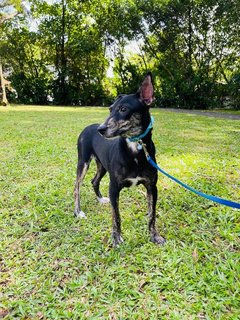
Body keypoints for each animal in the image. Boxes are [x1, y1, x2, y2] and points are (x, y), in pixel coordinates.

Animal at [74, 73, 166, 248]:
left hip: (102, 166)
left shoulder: (152, 187)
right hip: (83, 163)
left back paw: (100, 199)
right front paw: (116, 238)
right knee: (76, 188)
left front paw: (154, 236)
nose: (101, 129)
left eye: (123, 109)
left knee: (94, 181)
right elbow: (116, 216)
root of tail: (88, 127)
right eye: (110, 109)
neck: (135, 146)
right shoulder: (114, 188)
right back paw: (78, 211)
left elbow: (152, 214)